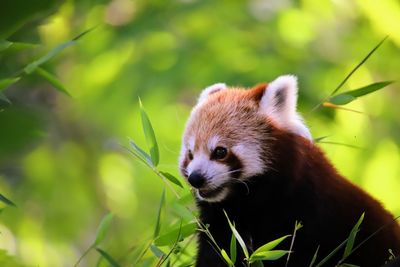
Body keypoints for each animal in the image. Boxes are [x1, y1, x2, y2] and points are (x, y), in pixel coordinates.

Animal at [179, 76, 400, 267]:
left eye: (220, 151)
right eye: (190, 153)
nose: (195, 178)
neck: (248, 201)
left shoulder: (306, 212)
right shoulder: (221, 221)